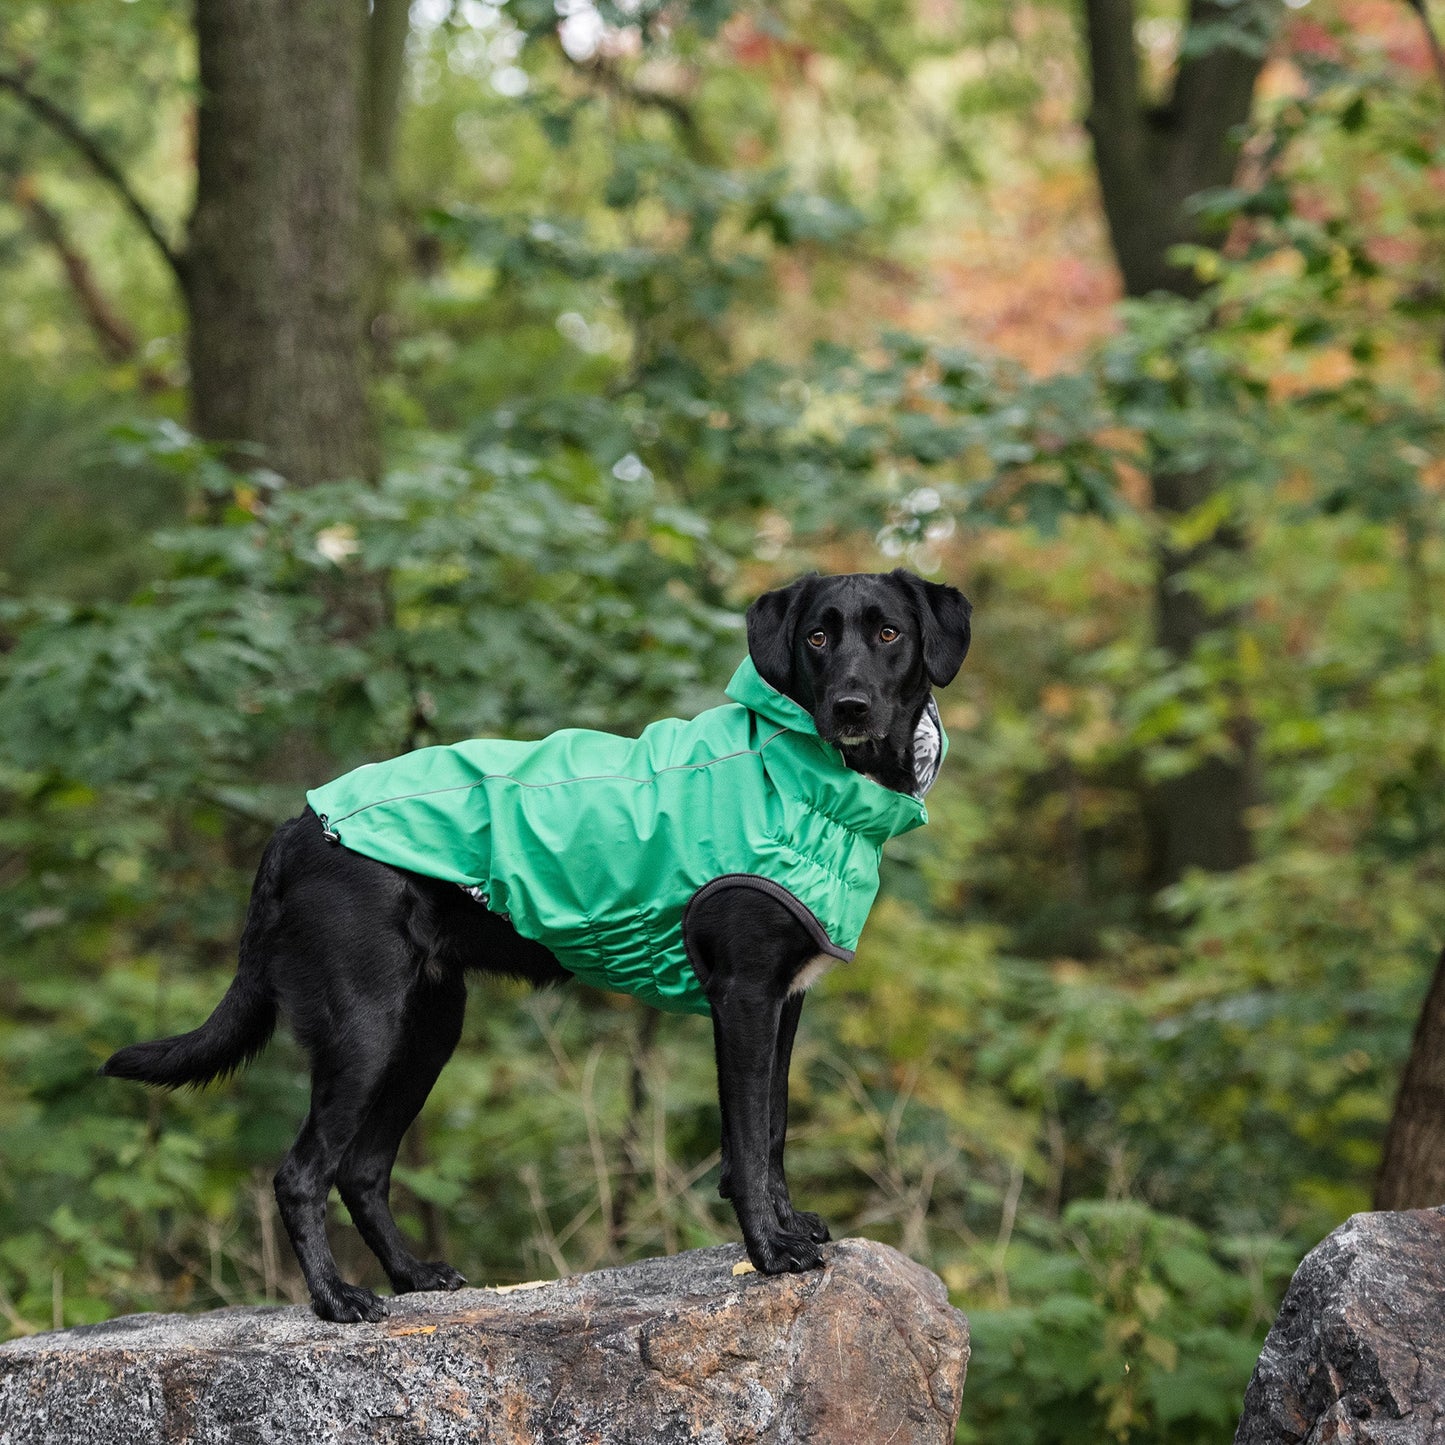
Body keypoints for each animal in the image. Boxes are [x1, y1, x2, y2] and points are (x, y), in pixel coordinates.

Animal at [104, 563, 971, 1323]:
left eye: (888, 633)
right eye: (818, 638)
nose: (850, 707)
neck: (803, 779)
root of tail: (298, 824)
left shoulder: (783, 1002)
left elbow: (775, 1130)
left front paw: (790, 1227)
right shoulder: (743, 997)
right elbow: (747, 1142)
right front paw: (768, 1251)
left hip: (428, 1028)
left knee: (362, 1166)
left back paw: (411, 1274)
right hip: (364, 1030)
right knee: (301, 1172)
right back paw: (336, 1299)